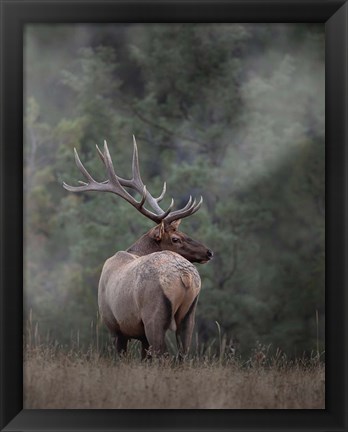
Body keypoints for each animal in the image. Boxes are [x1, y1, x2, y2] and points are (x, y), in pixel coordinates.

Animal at [64, 136, 213, 358]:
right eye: (176, 238)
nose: (208, 252)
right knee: (183, 353)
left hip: (154, 315)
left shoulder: (114, 326)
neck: (133, 251)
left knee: (163, 354)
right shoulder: (139, 336)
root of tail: (185, 277)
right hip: (189, 315)